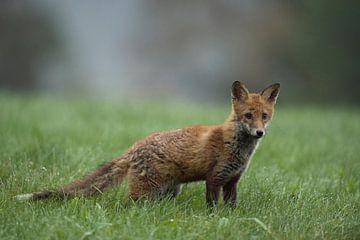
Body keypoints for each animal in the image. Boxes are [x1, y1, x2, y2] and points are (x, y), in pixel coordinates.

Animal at [16, 82, 280, 206]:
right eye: (248, 116)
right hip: (145, 192)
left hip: (169, 191)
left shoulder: (232, 181)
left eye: (265, 116)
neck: (238, 149)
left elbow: (232, 208)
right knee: (125, 206)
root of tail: (134, 146)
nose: (259, 133)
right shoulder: (214, 179)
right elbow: (213, 208)